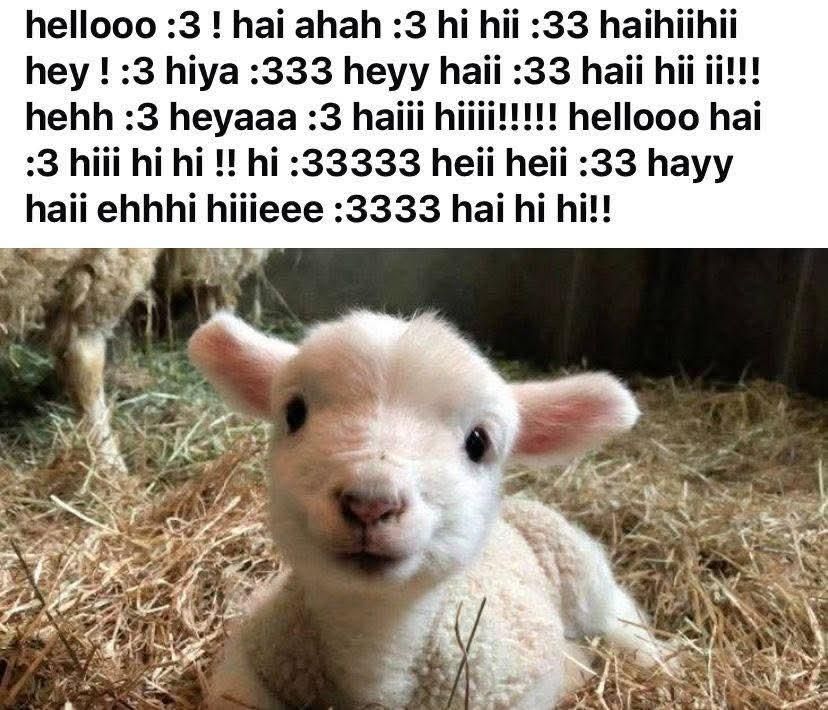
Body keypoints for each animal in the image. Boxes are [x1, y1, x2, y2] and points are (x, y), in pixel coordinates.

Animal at [189, 310, 675, 710]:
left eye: (478, 442)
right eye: (294, 413)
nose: (371, 502)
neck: (376, 644)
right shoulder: (241, 672)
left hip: (579, 567)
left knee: (617, 612)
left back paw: (653, 656)